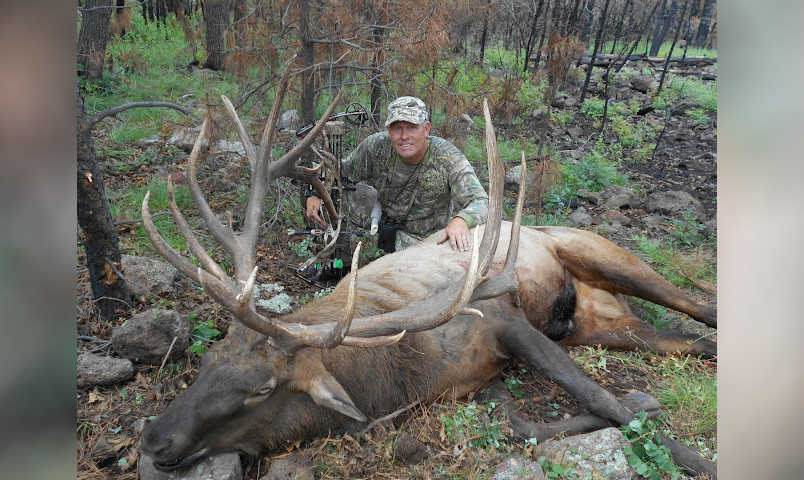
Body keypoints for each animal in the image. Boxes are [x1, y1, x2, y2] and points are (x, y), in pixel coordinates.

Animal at [138, 82, 716, 472]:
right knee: (689, 342)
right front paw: (644, 400)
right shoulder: (474, 380)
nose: (154, 439)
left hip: (602, 254)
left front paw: (687, 452)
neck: (396, 378)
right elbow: (523, 423)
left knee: (701, 308)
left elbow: (598, 398)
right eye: (210, 359)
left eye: (261, 388)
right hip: (601, 325)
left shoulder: (504, 320)